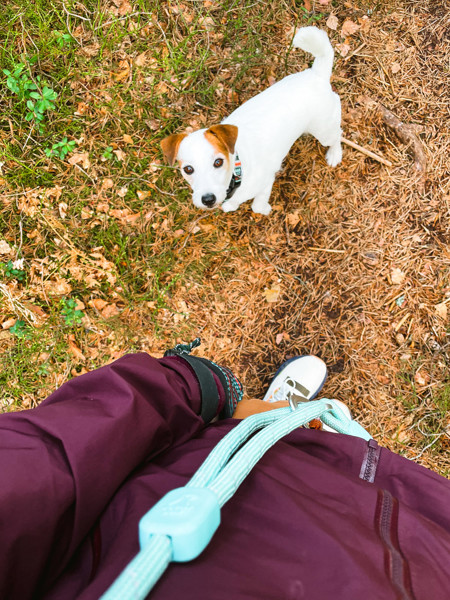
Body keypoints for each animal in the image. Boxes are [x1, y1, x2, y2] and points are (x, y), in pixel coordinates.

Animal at [162, 28, 342, 217]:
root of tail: (317, 74)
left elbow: (257, 205)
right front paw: (231, 205)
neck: (238, 169)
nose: (208, 199)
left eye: (218, 162)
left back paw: (335, 154)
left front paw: (264, 209)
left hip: (324, 130)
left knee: (337, 135)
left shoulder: (267, 181)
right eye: (188, 169)